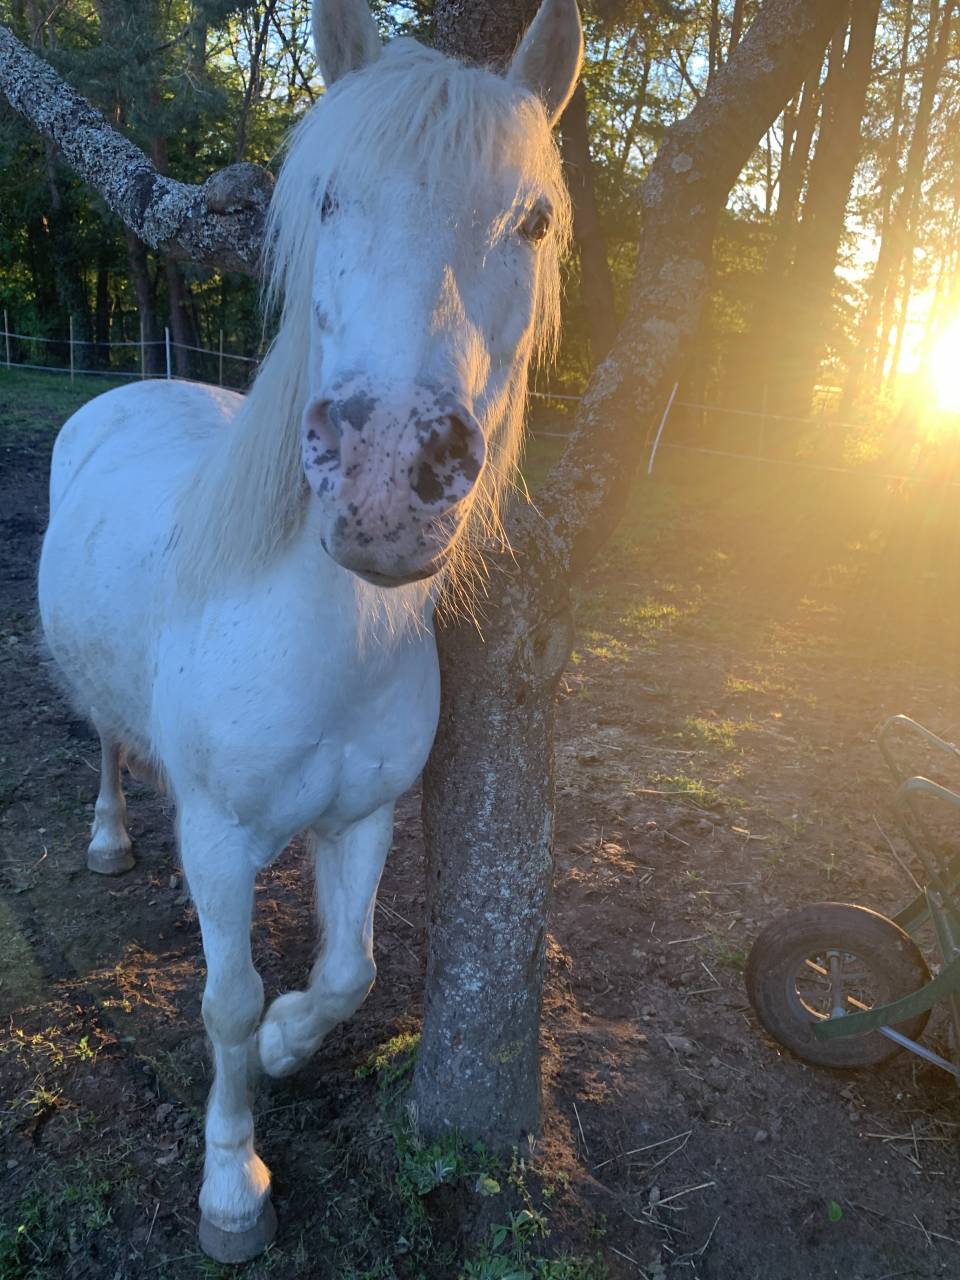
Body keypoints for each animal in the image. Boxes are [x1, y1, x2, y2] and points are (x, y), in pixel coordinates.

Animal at [37, 0, 582, 1261]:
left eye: (532, 219)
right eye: (328, 196)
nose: (390, 481)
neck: (324, 643)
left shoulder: (363, 816)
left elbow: (350, 969)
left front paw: (292, 1038)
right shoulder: (222, 836)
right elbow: (224, 1002)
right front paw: (233, 1183)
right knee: (105, 741)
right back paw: (107, 836)